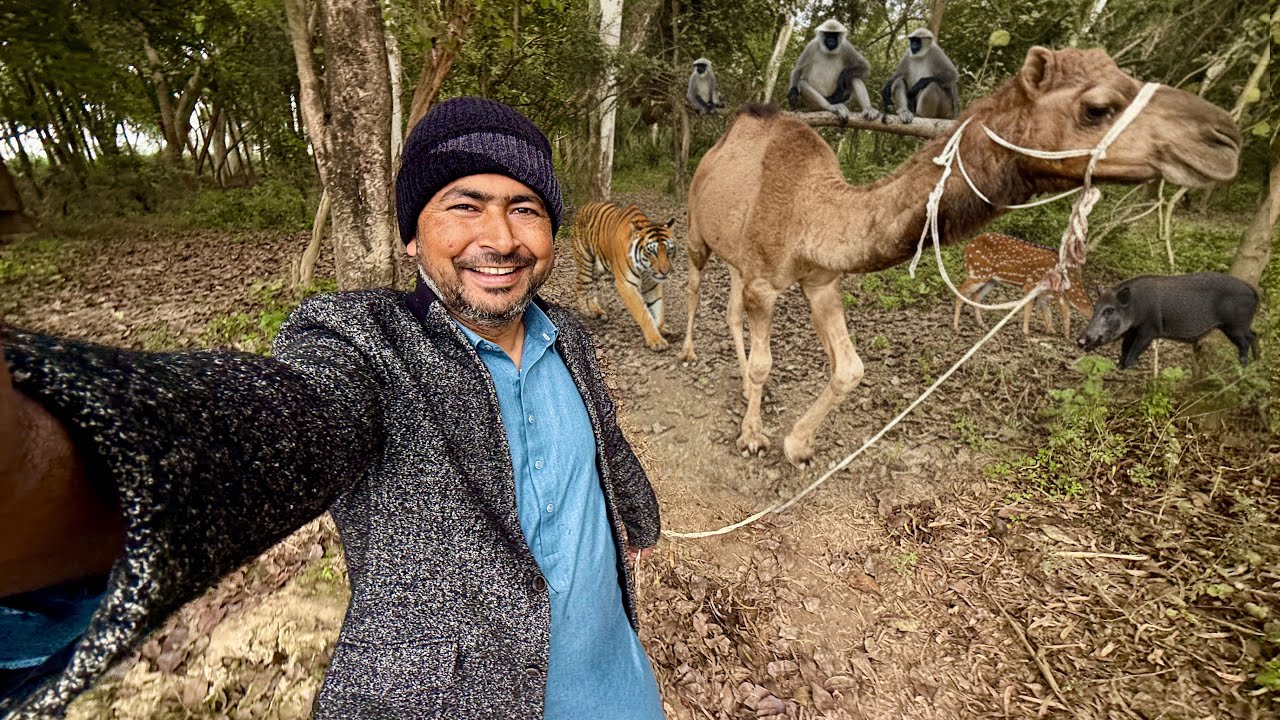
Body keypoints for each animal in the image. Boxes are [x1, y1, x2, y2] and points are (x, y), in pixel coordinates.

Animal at [680, 47, 1241, 466]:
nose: (1224, 137)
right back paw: (684, 351)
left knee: (730, 309)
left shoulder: (821, 280)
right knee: (694, 283)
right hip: (696, 230)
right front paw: (753, 436)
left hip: (735, 256)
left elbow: (849, 369)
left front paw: (797, 444)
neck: (813, 212)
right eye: (1097, 108)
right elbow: (766, 363)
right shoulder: (766, 281)